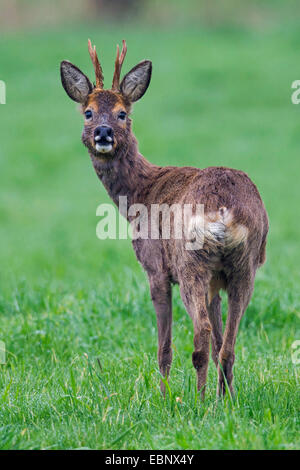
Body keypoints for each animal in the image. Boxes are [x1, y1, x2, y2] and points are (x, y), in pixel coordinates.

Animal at [59, 40, 268, 398]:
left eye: (123, 113)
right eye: (88, 112)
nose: (103, 132)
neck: (140, 193)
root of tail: (224, 208)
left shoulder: (154, 267)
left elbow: (164, 346)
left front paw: (162, 393)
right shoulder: (216, 282)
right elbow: (219, 342)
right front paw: (221, 397)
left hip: (189, 264)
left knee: (201, 333)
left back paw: (197, 401)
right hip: (245, 266)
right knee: (228, 343)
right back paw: (223, 401)